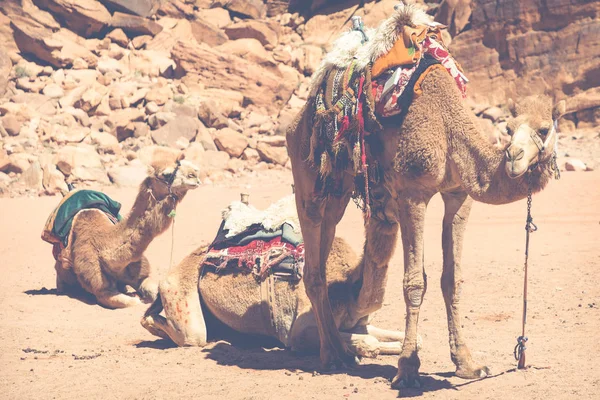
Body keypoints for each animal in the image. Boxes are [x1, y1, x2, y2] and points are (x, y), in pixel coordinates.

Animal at [141, 195, 418, 358]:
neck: (350, 289)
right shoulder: (300, 331)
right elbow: (368, 342)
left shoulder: (357, 323)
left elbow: (413, 339)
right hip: (179, 294)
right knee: (187, 332)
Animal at [286, 4, 568, 390]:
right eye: (508, 129)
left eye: (543, 129)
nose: (513, 157)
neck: (449, 125)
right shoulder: (412, 193)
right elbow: (414, 282)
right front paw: (408, 369)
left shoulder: (459, 197)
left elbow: (453, 279)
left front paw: (467, 363)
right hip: (308, 174)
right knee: (313, 260)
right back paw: (332, 356)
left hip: (339, 188)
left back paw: (339, 352)